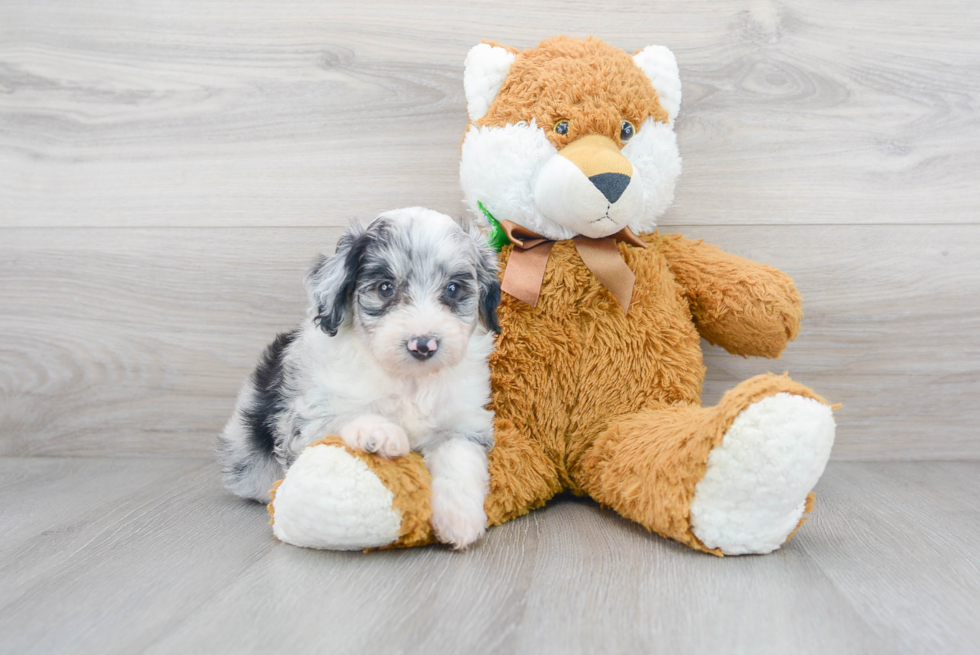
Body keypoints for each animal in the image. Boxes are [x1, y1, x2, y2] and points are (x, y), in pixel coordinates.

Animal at [218, 206, 502, 548]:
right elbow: (347, 414)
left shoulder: (462, 424)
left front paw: (460, 520)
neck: (410, 381)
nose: (423, 345)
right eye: (385, 288)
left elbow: (459, 460)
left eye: (453, 290)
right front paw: (380, 433)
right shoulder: (308, 418)